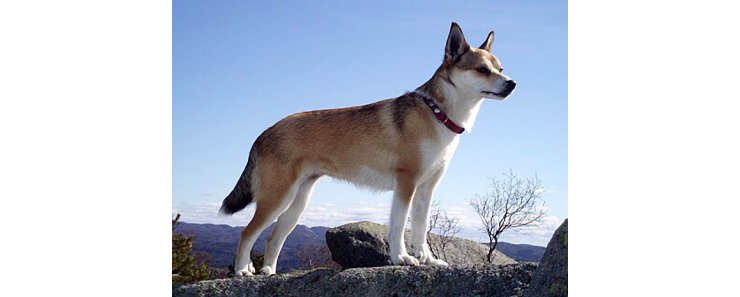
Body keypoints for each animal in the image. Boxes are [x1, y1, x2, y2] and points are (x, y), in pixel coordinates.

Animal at [220, 21, 516, 276]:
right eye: (482, 69)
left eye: (500, 69)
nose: (512, 83)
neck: (437, 113)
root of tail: (265, 132)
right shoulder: (406, 183)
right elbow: (399, 227)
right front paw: (402, 258)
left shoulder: (426, 188)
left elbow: (420, 230)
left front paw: (429, 260)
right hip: (276, 198)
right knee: (247, 233)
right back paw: (243, 270)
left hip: (297, 202)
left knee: (274, 237)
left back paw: (269, 272)